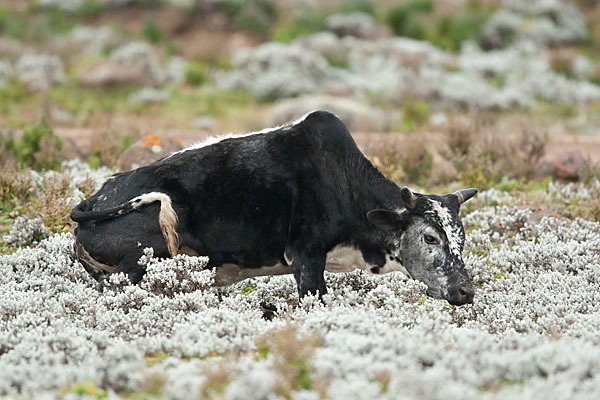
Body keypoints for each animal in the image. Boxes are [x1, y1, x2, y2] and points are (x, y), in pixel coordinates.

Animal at [70, 111, 476, 304]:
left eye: (462, 238)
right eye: (429, 238)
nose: (466, 291)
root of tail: (96, 198)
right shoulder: (305, 257)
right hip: (140, 258)